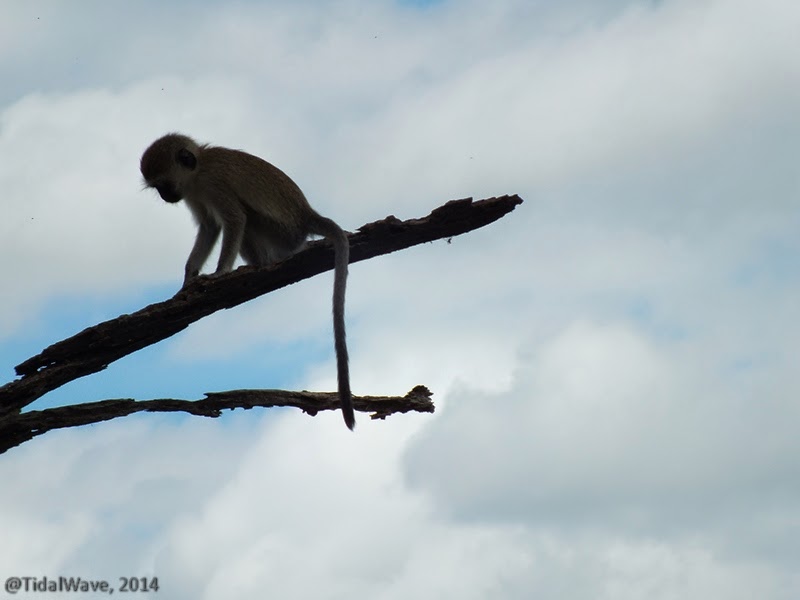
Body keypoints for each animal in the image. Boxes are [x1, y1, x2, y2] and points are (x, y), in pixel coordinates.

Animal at [140, 133, 354, 430]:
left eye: (163, 184)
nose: (165, 196)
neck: (199, 167)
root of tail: (306, 215)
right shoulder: (193, 193)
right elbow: (210, 227)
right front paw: (187, 279)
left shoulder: (214, 183)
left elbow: (233, 219)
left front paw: (219, 273)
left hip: (282, 232)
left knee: (248, 218)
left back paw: (261, 265)